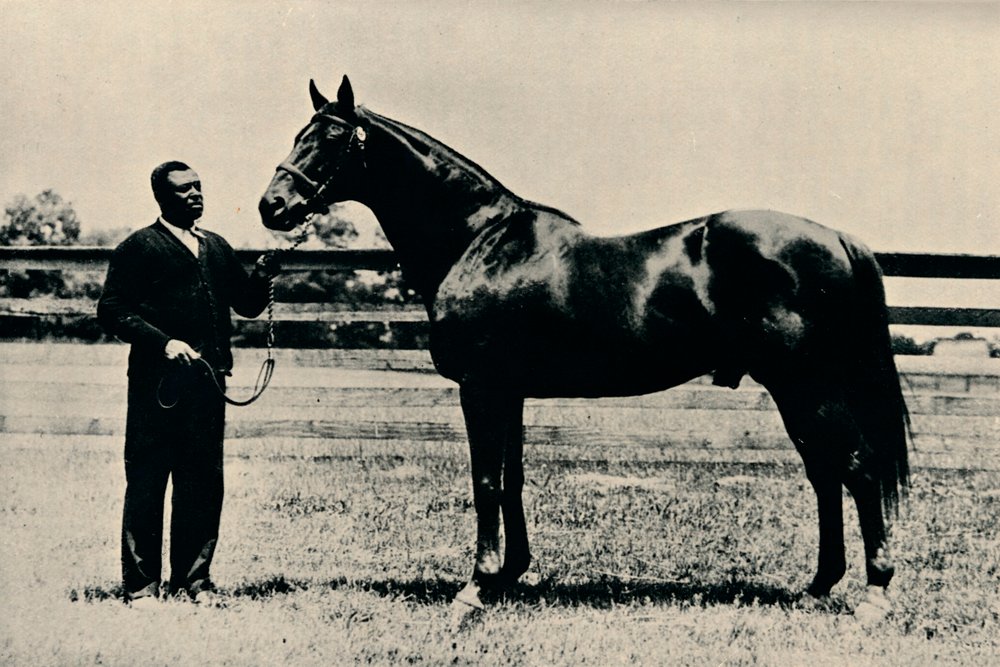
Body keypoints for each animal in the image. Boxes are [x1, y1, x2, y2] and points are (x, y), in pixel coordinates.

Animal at [259, 75, 911, 622]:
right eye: (297, 135)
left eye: (331, 139)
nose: (273, 206)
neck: (479, 241)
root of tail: (837, 238)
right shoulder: (510, 391)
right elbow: (512, 479)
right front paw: (511, 575)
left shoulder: (481, 388)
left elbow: (485, 482)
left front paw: (475, 588)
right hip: (795, 388)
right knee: (826, 473)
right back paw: (819, 586)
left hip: (807, 384)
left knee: (857, 469)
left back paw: (874, 595)